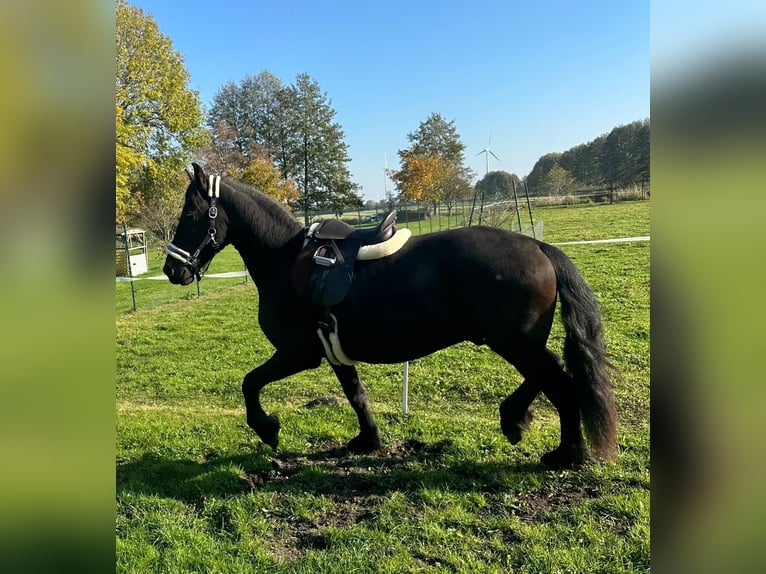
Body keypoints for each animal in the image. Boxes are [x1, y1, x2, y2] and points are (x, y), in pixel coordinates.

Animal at [164, 164, 616, 470]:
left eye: (190, 216)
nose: (172, 269)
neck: (285, 260)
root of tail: (538, 247)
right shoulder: (333, 351)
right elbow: (356, 395)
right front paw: (368, 440)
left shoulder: (298, 354)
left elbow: (250, 383)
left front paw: (266, 427)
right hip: (518, 341)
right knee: (550, 377)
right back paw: (517, 419)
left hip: (516, 342)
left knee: (562, 385)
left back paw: (566, 453)